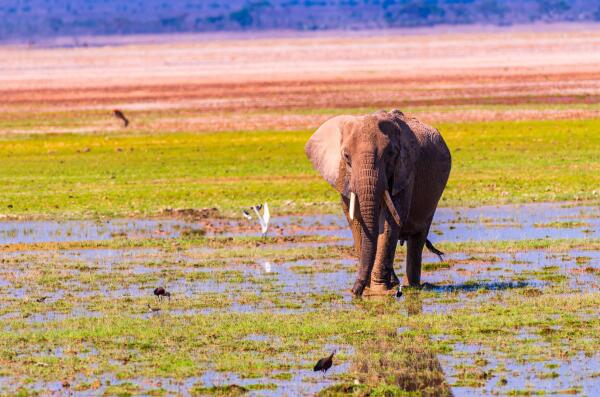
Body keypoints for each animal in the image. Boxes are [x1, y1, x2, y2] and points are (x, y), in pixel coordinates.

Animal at [304, 110, 450, 296]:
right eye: (346, 156)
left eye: (390, 154)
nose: (353, 292)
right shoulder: (343, 177)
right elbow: (355, 221)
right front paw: (369, 288)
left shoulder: (405, 171)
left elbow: (390, 222)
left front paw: (379, 290)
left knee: (418, 237)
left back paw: (411, 286)